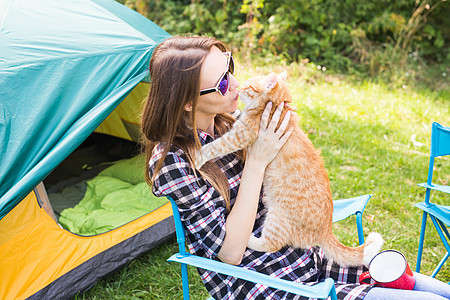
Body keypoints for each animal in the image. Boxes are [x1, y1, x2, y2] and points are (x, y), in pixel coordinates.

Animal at [194, 72, 384, 268]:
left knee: (270, 244)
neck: (274, 107)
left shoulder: (240, 136)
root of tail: (326, 229)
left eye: (247, 86)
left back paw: (250, 240)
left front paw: (198, 155)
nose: (238, 89)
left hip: (277, 218)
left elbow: (216, 146)